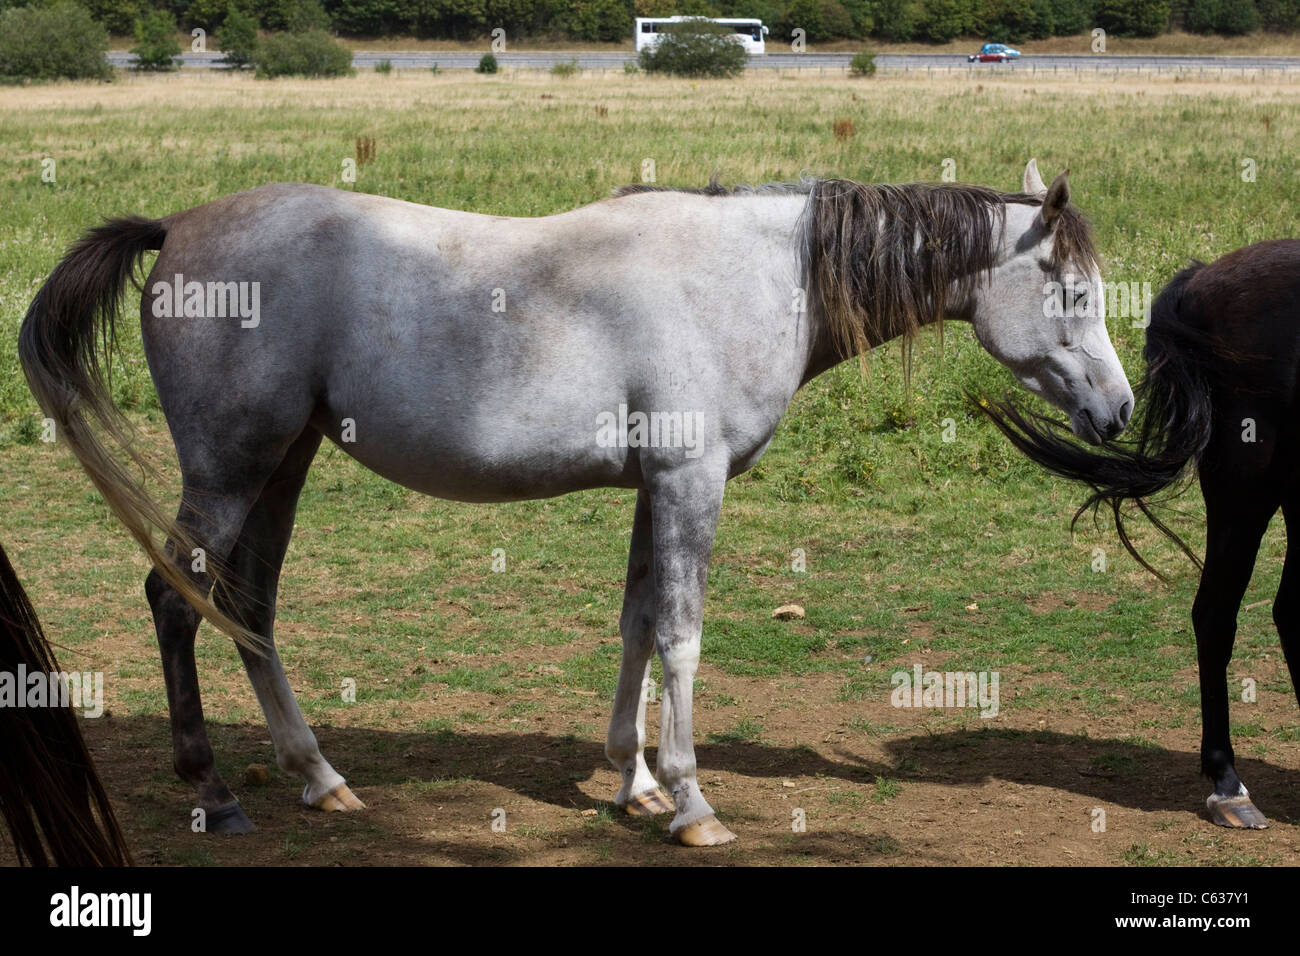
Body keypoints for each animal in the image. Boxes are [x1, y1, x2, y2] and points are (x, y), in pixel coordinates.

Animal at [17, 160, 1128, 848]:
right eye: (1071, 292)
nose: (1118, 411)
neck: (748, 275)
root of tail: (178, 227)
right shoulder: (691, 483)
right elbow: (680, 634)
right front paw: (692, 801)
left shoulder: (655, 487)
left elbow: (636, 621)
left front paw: (632, 780)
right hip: (228, 472)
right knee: (176, 603)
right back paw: (211, 788)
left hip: (279, 469)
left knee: (248, 608)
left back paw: (319, 775)